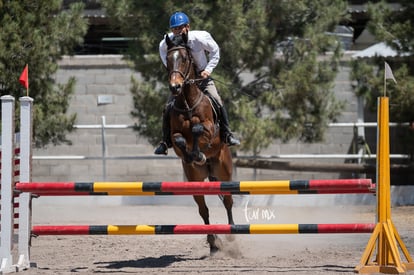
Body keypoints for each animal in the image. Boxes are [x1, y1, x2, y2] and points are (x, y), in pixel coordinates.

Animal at [164, 32, 234, 254]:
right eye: (168, 59)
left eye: (185, 58)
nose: (175, 87)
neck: (187, 103)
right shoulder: (174, 135)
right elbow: (179, 139)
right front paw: (193, 155)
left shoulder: (210, 130)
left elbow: (197, 130)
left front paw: (198, 153)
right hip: (195, 181)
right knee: (203, 210)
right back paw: (213, 242)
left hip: (224, 173)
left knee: (228, 201)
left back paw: (232, 234)